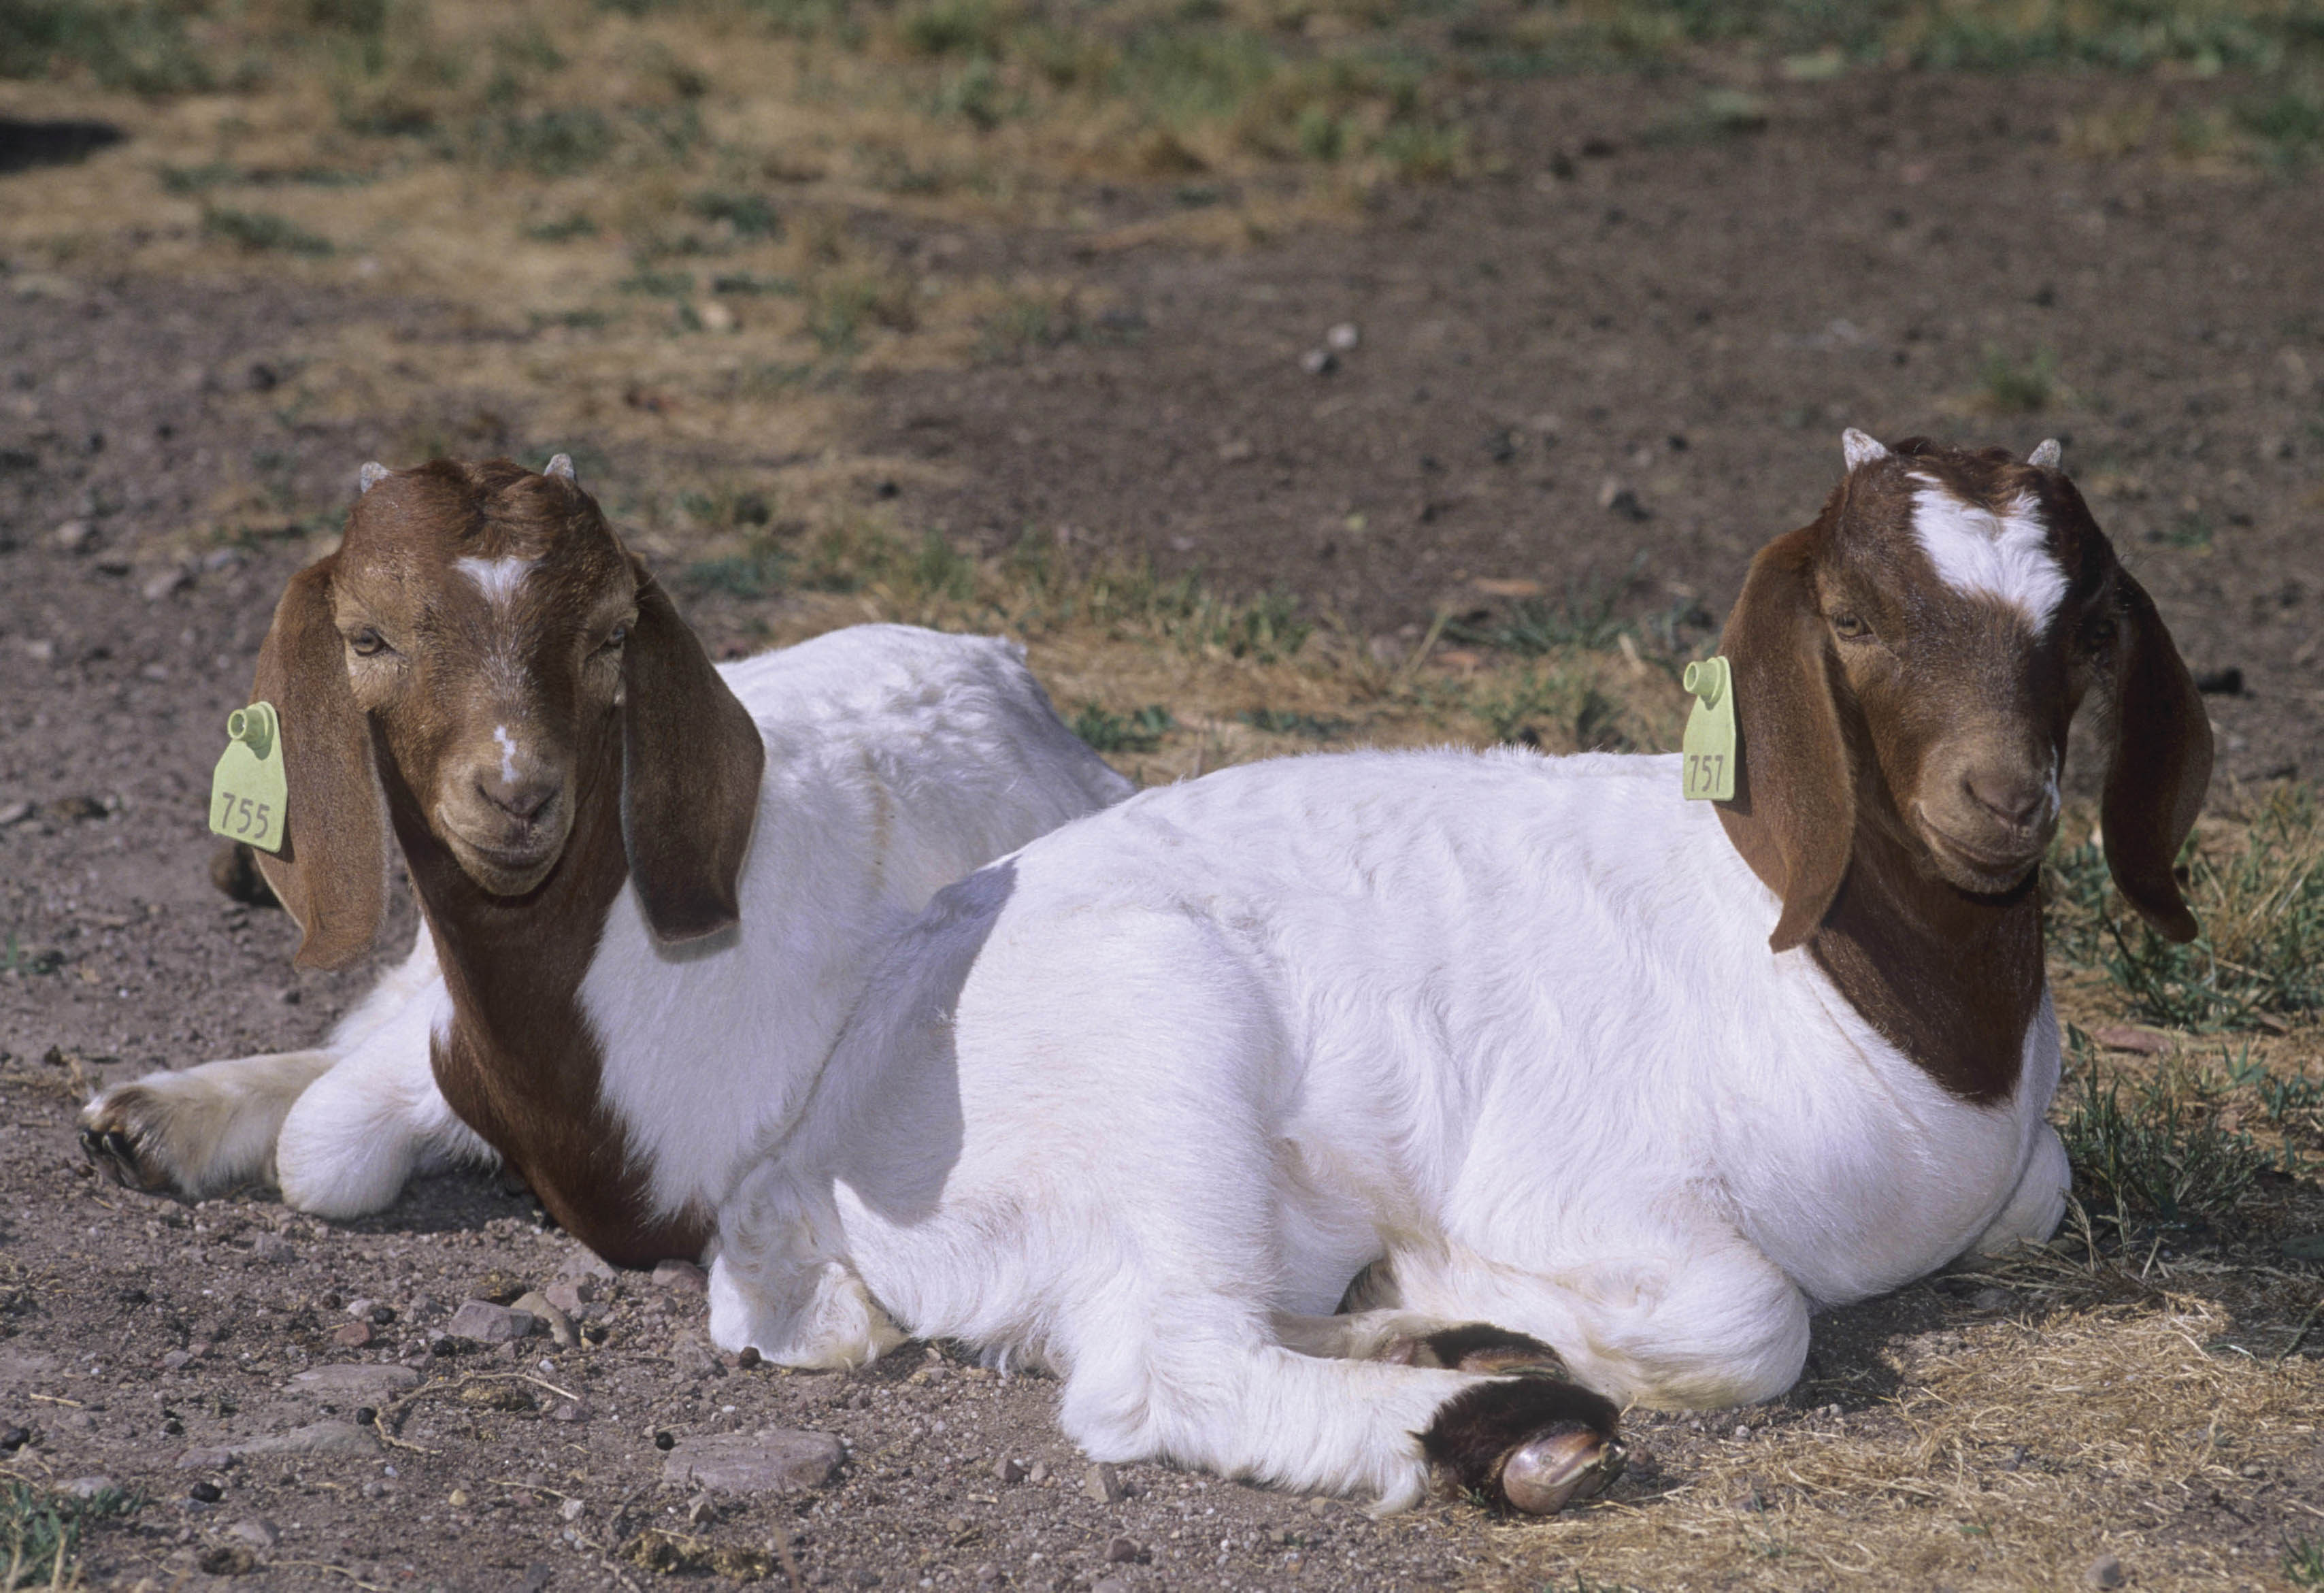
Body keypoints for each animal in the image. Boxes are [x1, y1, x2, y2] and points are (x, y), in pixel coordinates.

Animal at [72, 450, 1125, 1255]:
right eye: (365, 638)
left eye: (613, 634)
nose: (516, 793)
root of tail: (1005, 664)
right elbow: (323, 1138)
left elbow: (324, 1143)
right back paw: (143, 1116)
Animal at [697, 425, 2203, 1516]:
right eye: (1855, 614)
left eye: (2085, 627)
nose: (2001, 798)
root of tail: (809, 1150)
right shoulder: (1593, 1186)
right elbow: (1753, 1319)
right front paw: (1454, 1280)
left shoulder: (2020, 1174)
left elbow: (2042, 1193)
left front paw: (1437, 1304)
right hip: (1159, 1052)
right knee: (1166, 1365)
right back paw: (1503, 1424)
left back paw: (1440, 1352)